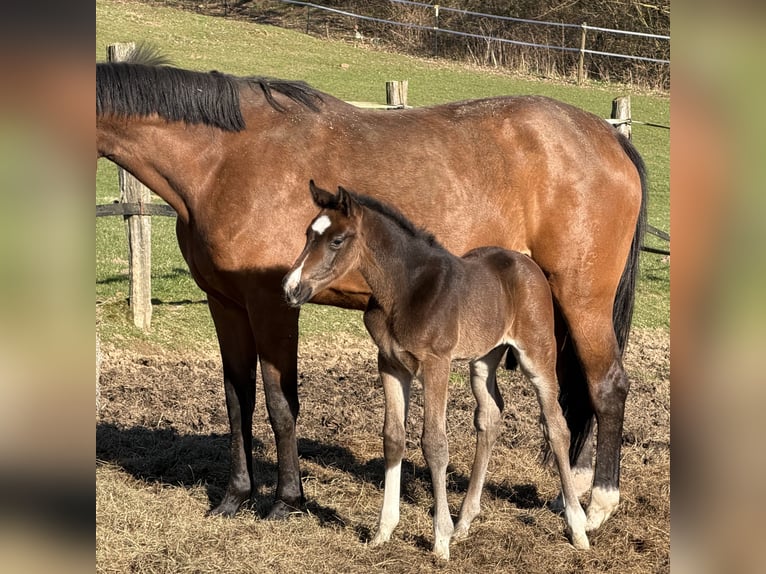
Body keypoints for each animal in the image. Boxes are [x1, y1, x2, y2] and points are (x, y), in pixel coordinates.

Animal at [283, 181, 590, 558]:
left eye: (337, 240)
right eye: (308, 234)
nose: (291, 288)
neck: (403, 292)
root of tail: (526, 263)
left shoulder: (436, 364)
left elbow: (434, 443)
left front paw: (439, 539)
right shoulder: (390, 364)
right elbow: (393, 437)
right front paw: (384, 530)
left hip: (537, 354)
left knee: (556, 426)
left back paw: (577, 527)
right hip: (482, 359)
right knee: (490, 417)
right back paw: (465, 522)